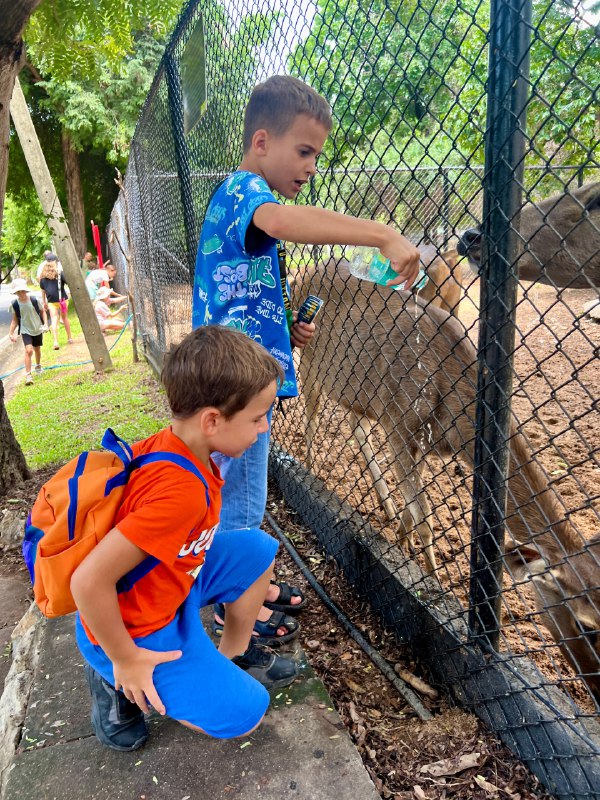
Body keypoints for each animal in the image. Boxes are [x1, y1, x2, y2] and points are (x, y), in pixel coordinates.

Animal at [296, 262, 600, 700]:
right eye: (587, 624)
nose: (595, 687)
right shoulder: (399, 422)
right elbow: (424, 515)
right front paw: (432, 583)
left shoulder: (418, 439)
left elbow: (415, 507)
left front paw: (400, 537)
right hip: (311, 363)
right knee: (309, 414)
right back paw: (306, 465)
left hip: (357, 392)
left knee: (354, 425)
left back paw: (384, 505)